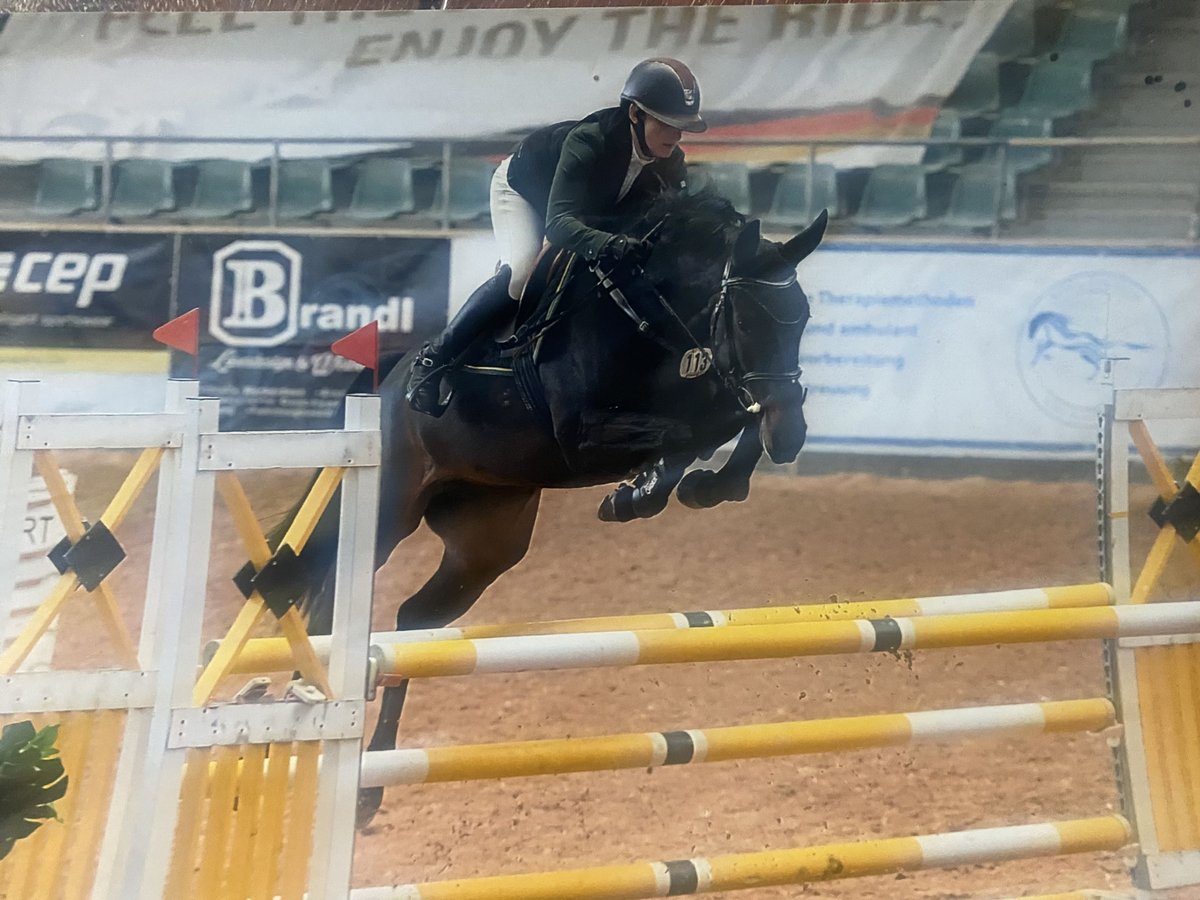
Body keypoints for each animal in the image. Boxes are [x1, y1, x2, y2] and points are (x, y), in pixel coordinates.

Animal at [272, 192, 825, 825]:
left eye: (802, 317)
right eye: (749, 320)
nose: (793, 438)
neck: (650, 314)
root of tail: (385, 388)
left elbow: (732, 417)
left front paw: (701, 486)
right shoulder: (584, 435)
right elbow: (697, 428)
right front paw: (642, 490)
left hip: (486, 546)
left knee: (413, 620)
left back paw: (368, 788)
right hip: (389, 513)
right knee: (325, 588)